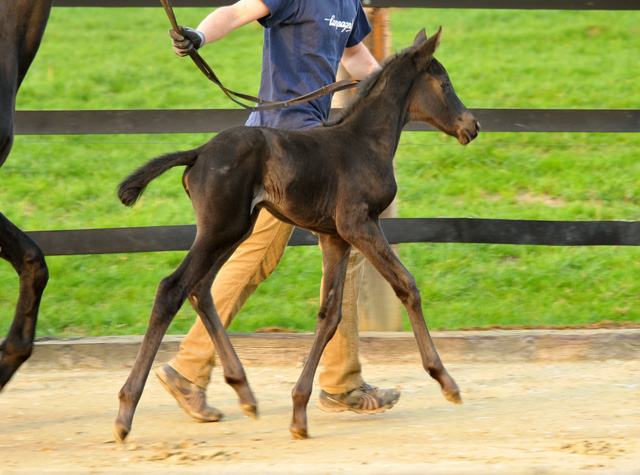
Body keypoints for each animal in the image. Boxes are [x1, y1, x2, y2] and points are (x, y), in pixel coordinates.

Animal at [115, 27, 478, 442]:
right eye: (444, 83)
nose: (472, 126)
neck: (365, 142)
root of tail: (200, 152)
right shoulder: (359, 223)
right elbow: (406, 285)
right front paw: (446, 380)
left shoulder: (336, 236)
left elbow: (330, 313)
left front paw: (300, 411)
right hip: (220, 229)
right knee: (172, 288)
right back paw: (126, 412)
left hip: (234, 230)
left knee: (202, 288)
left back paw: (243, 392)